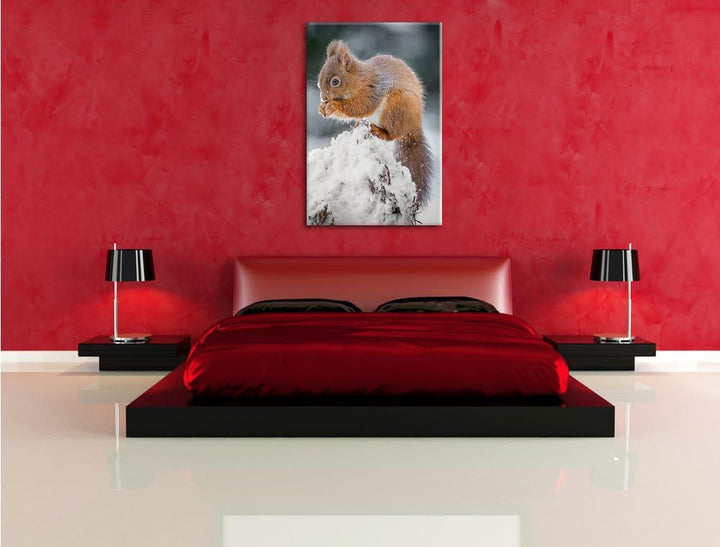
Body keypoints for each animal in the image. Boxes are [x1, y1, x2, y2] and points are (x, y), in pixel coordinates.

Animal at [317, 40, 432, 204]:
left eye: (335, 81)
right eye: (319, 78)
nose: (324, 98)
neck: (358, 79)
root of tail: (414, 127)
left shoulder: (370, 92)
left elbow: (358, 107)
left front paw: (333, 106)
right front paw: (322, 107)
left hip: (396, 107)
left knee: (394, 134)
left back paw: (379, 131)